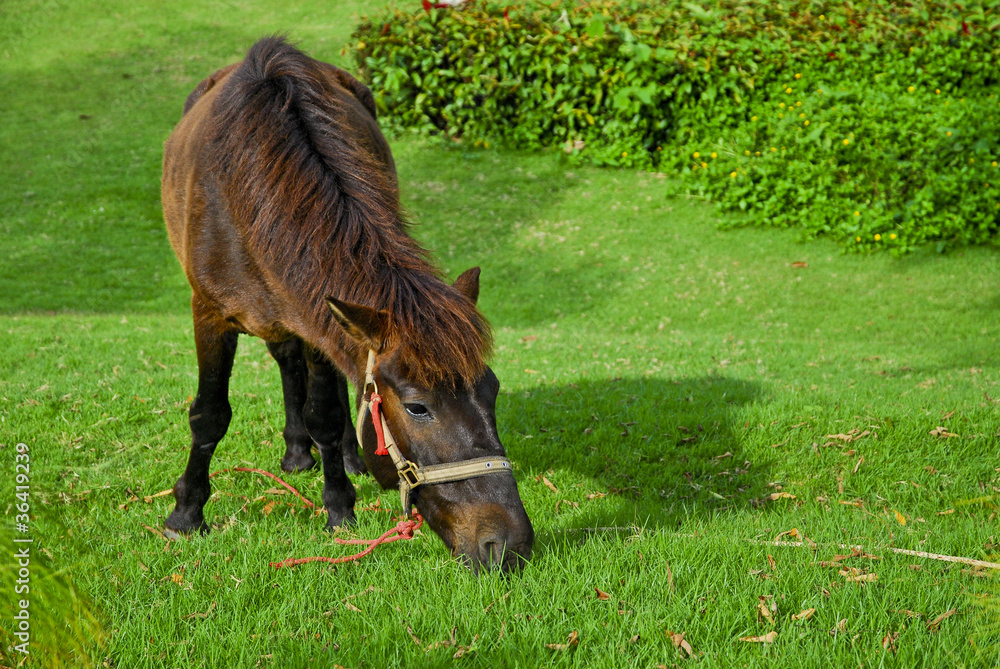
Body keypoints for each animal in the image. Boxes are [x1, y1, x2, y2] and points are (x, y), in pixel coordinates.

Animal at [160, 36, 533, 572]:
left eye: (493, 390)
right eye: (418, 407)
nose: (507, 545)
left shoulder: (318, 318)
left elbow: (327, 413)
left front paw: (338, 504)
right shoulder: (209, 314)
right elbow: (209, 414)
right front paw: (186, 512)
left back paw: (339, 456)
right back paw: (298, 453)